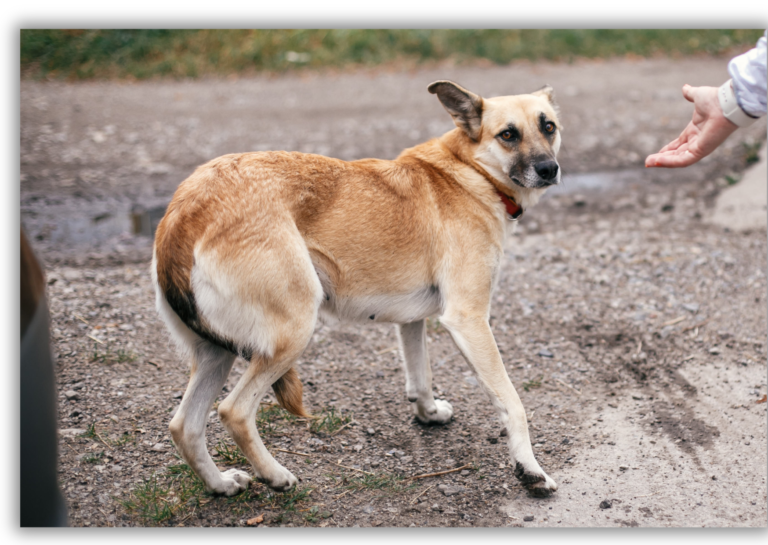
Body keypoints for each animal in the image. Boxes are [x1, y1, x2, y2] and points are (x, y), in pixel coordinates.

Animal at [152, 79, 560, 498]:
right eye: (508, 135)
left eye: (548, 127)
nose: (549, 169)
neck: (469, 171)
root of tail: (185, 211)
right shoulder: (469, 320)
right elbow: (513, 403)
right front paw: (530, 470)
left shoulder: (412, 321)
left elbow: (421, 376)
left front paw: (428, 413)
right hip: (292, 333)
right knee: (233, 411)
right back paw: (277, 476)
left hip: (216, 353)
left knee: (184, 426)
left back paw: (220, 484)